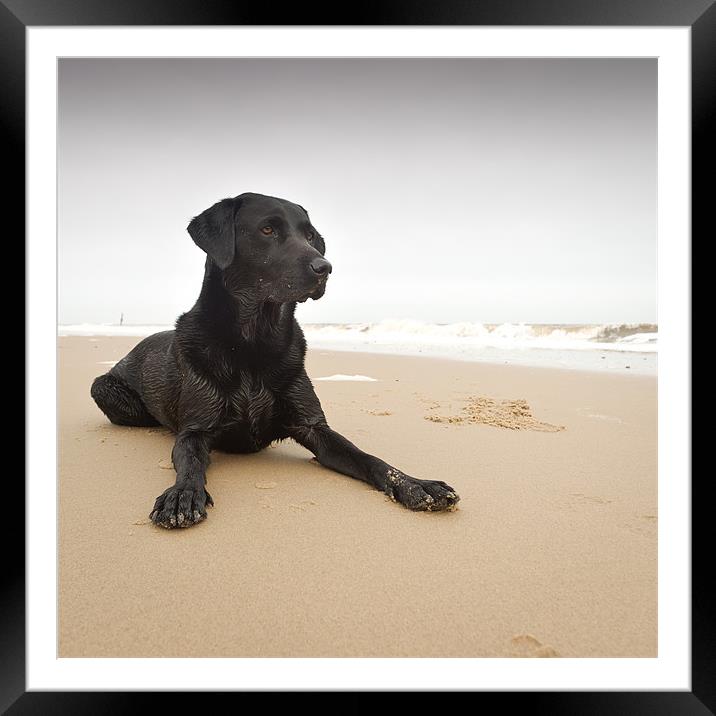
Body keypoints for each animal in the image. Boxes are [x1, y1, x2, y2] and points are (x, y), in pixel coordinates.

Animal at [91, 190, 458, 524]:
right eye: (267, 230)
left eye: (310, 236)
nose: (325, 267)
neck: (254, 343)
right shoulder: (194, 430)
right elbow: (190, 463)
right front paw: (182, 494)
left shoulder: (313, 426)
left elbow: (368, 457)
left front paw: (415, 484)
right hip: (104, 389)